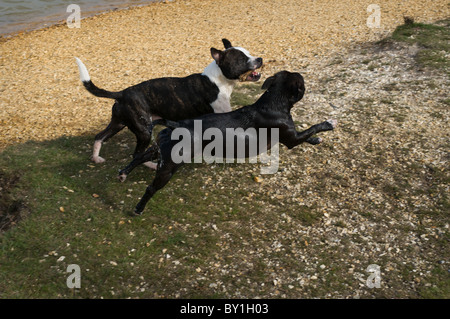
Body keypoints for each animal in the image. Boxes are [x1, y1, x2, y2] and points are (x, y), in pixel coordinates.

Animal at [75, 39, 262, 165]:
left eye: (250, 53)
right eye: (242, 59)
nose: (259, 58)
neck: (218, 80)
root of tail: (122, 94)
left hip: (119, 123)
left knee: (99, 137)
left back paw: (96, 158)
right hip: (144, 131)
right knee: (136, 155)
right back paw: (151, 165)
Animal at [119, 70, 338, 215]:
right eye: (301, 83)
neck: (273, 102)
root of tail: (176, 124)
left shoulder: (294, 136)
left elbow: (308, 134)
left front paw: (316, 140)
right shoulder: (292, 139)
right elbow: (312, 128)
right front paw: (328, 124)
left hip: (160, 150)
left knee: (140, 156)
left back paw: (124, 173)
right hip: (169, 166)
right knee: (150, 188)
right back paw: (138, 208)